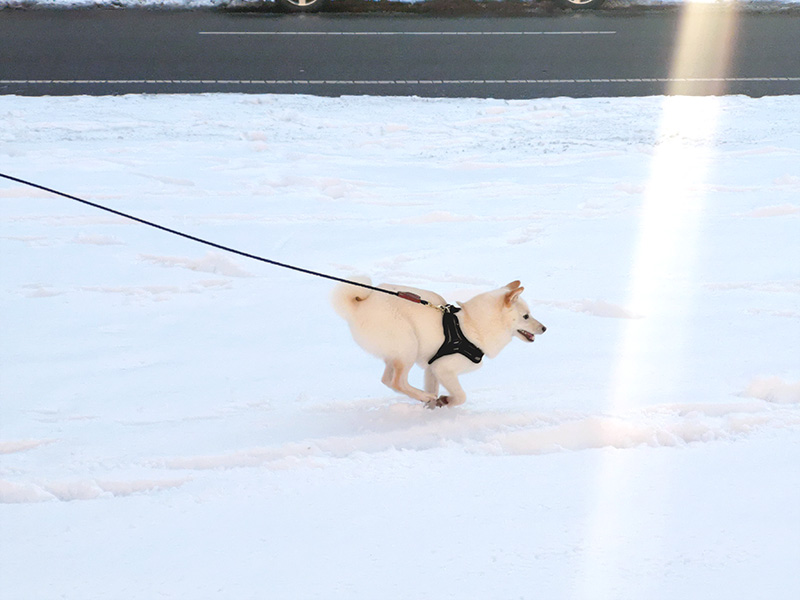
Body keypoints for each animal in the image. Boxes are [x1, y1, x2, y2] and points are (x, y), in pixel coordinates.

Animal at [332, 280, 544, 408]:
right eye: (526, 316)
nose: (545, 328)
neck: (470, 325)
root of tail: (361, 302)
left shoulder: (431, 368)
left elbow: (433, 386)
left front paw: (435, 405)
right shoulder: (443, 369)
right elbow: (461, 396)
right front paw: (445, 400)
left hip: (397, 353)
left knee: (387, 380)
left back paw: (422, 397)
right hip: (408, 346)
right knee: (397, 381)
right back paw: (423, 396)